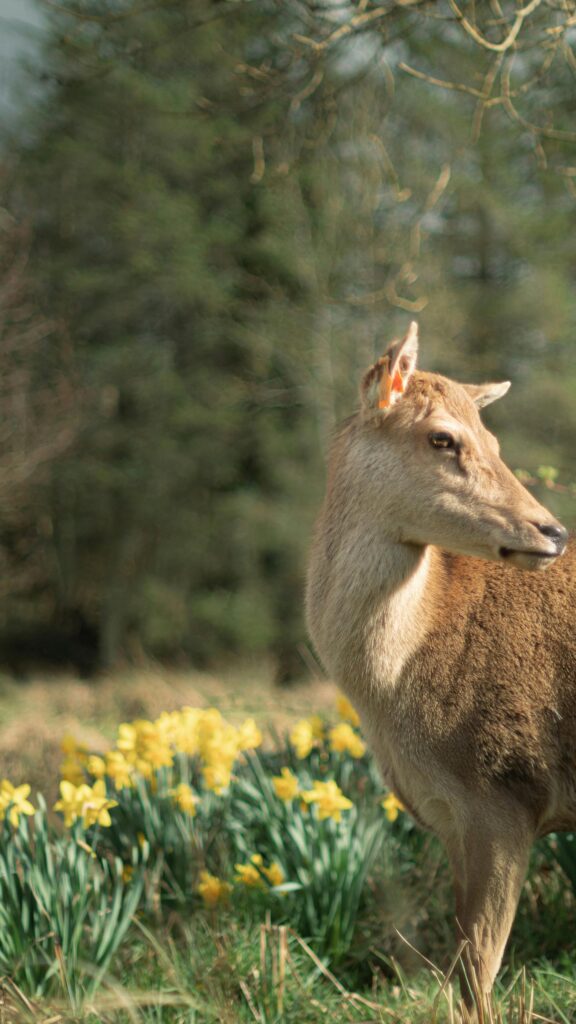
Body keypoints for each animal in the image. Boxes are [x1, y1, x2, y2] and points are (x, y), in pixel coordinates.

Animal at [306, 321, 574, 1013]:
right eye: (442, 437)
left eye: (494, 440)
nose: (552, 532)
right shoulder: (452, 816)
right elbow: (460, 971)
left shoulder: (506, 790)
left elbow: (479, 972)